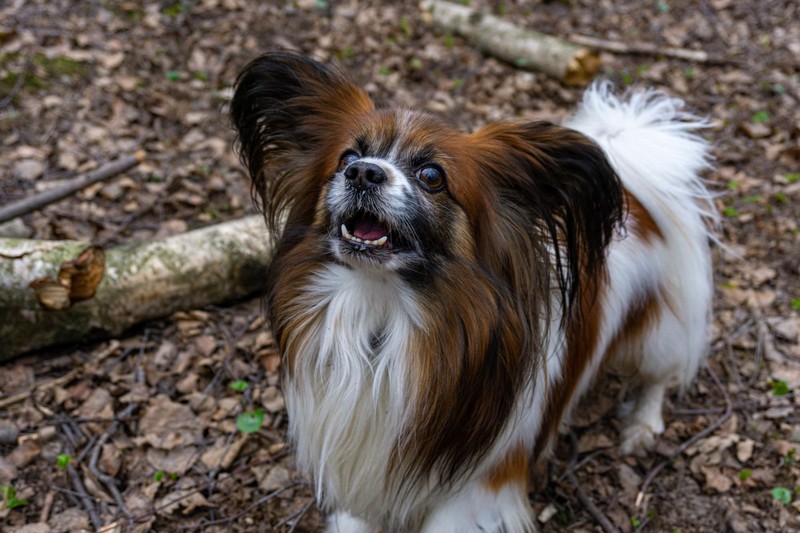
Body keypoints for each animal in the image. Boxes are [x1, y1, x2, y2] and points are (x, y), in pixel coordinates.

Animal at [228, 51, 716, 532]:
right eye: (347, 155)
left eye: (431, 175)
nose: (362, 172)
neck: (383, 316)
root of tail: (636, 197)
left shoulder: (475, 493)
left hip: (656, 331)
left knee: (659, 374)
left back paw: (643, 426)